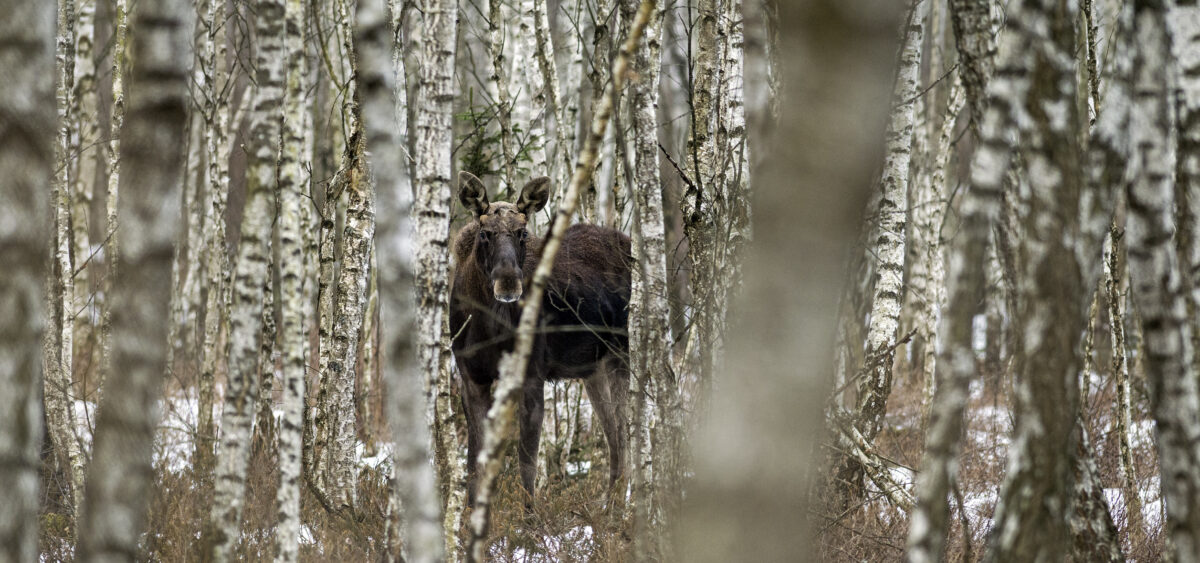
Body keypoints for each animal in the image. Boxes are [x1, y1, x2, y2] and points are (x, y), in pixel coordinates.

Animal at [448, 171, 633, 499]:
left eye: (522, 232)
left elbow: (527, 466)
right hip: (593, 368)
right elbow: (473, 466)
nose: (508, 282)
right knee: (614, 436)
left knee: (627, 435)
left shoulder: (532, 374)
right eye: (485, 233)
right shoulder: (471, 377)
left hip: (622, 350)